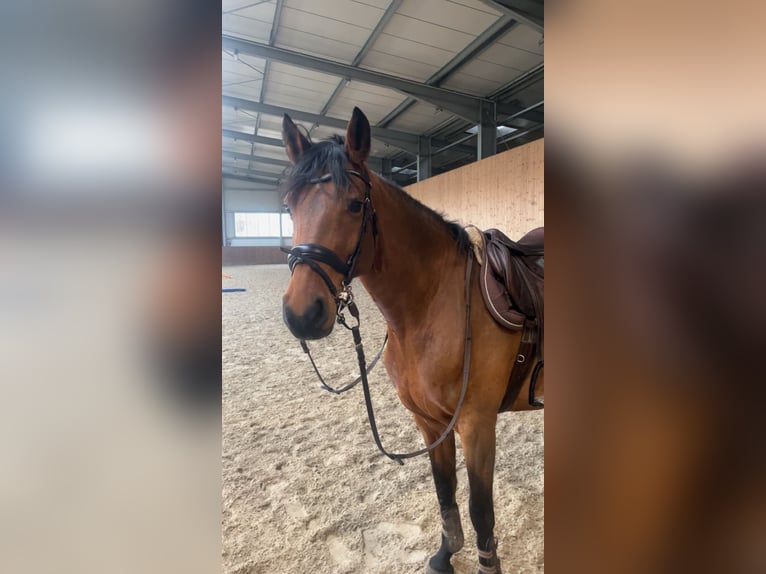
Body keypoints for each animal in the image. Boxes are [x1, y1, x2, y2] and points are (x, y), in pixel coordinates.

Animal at [280, 107, 543, 574]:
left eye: (354, 204)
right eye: (290, 207)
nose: (301, 314)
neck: (433, 305)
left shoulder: (477, 424)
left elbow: (481, 509)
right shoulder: (429, 422)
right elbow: (444, 490)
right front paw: (444, 554)